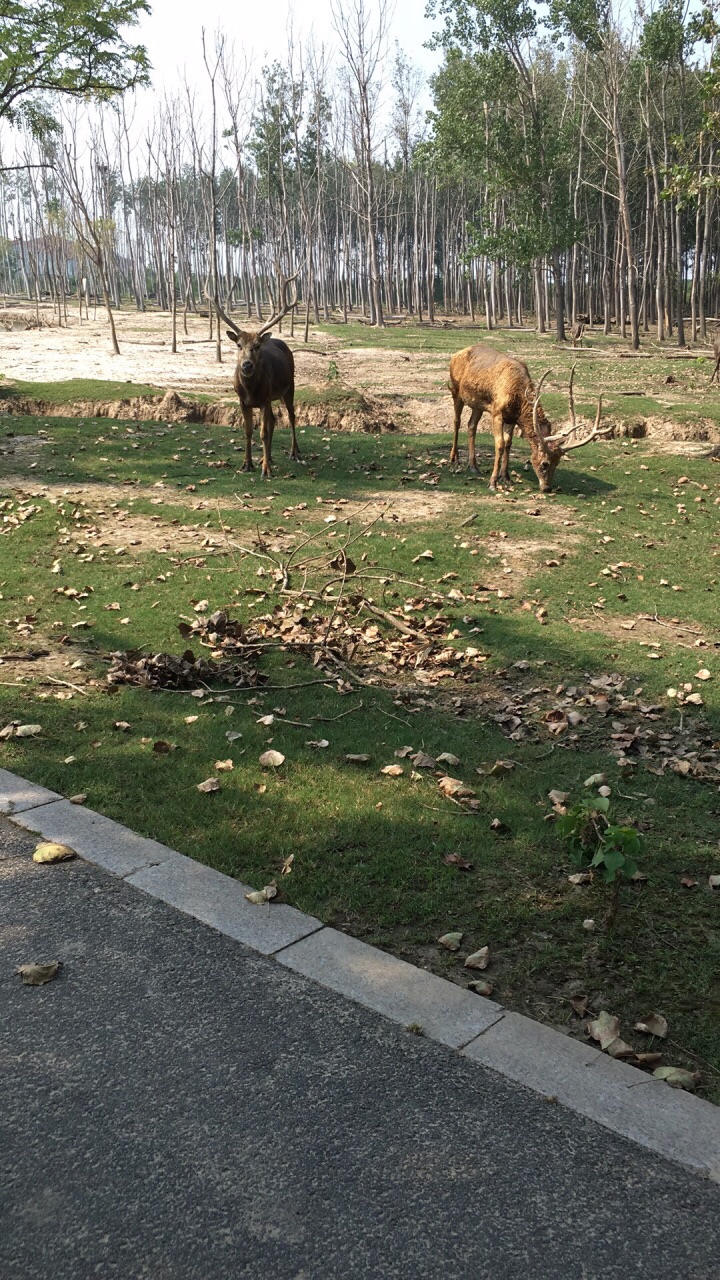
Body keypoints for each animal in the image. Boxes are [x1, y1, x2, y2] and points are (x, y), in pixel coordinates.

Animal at [215, 277, 299, 478]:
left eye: (257, 346)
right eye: (238, 345)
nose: (247, 365)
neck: (250, 391)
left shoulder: (264, 399)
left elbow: (263, 432)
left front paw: (266, 470)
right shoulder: (243, 401)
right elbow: (248, 431)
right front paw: (247, 464)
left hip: (290, 386)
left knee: (291, 416)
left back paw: (294, 452)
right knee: (274, 420)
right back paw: (266, 457)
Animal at [448, 343, 604, 491]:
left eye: (558, 462)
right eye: (545, 464)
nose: (547, 488)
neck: (519, 399)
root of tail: (455, 354)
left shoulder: (512, 418)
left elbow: (508, 443)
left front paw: (506, 477)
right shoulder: (497, 412)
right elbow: (500, 444)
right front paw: (493, 482)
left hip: (477, 404)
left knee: (471, 425)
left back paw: (473, 466)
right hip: (456, 391)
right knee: (457, 421)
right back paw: (454, 458)